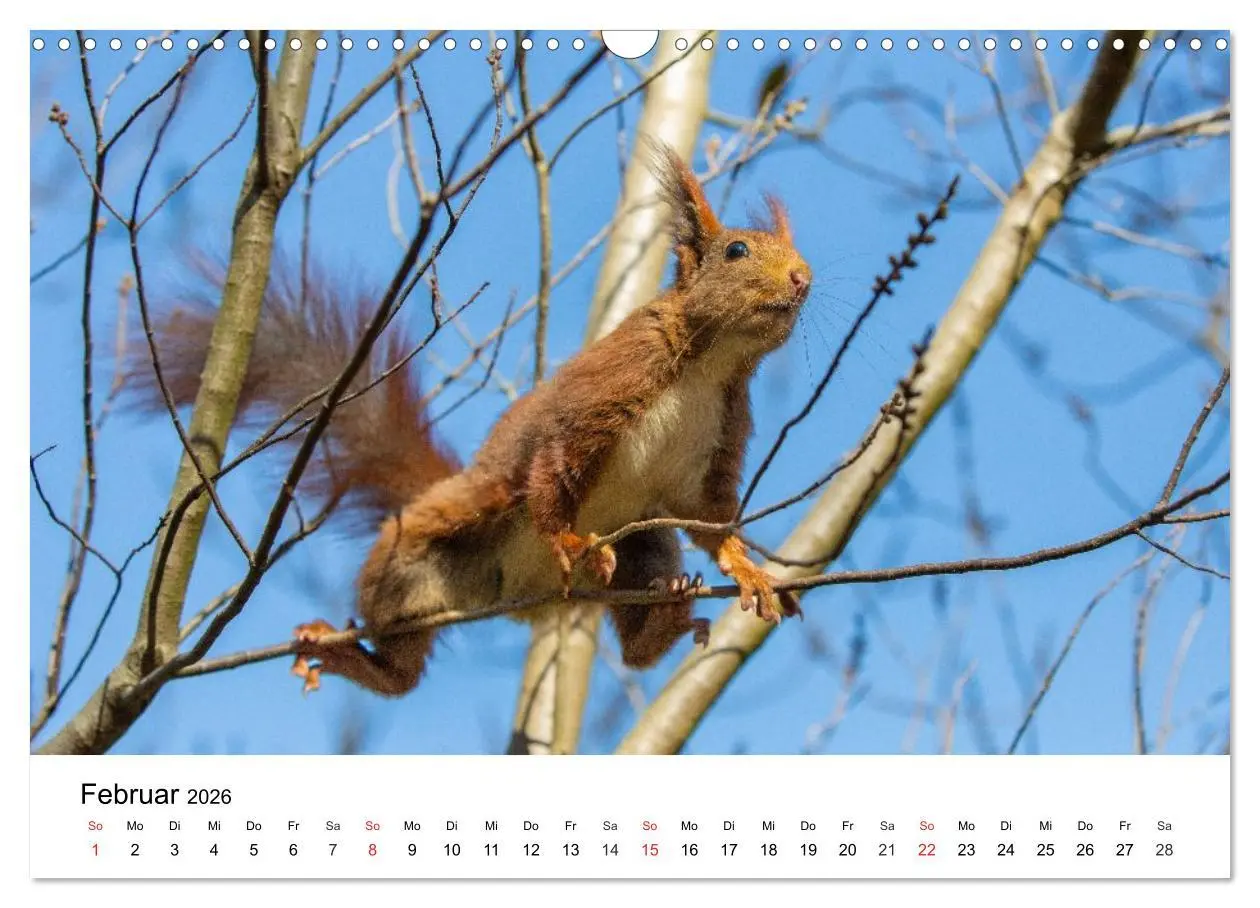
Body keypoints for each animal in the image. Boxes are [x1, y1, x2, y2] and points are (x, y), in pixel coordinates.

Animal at [132, 142, 811, 697]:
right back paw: (346, 651)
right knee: (400, 657)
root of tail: (517, 599)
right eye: (737, 250)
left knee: (634, 638)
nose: (803, 278)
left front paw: (748, 569)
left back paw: (663, 618)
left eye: (798, 253)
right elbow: (555, 461)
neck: (712, 362)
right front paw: (566, 537)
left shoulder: (717, 441)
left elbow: (710, 517)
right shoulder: (605, 387)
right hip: (421, 554)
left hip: (642, 539)